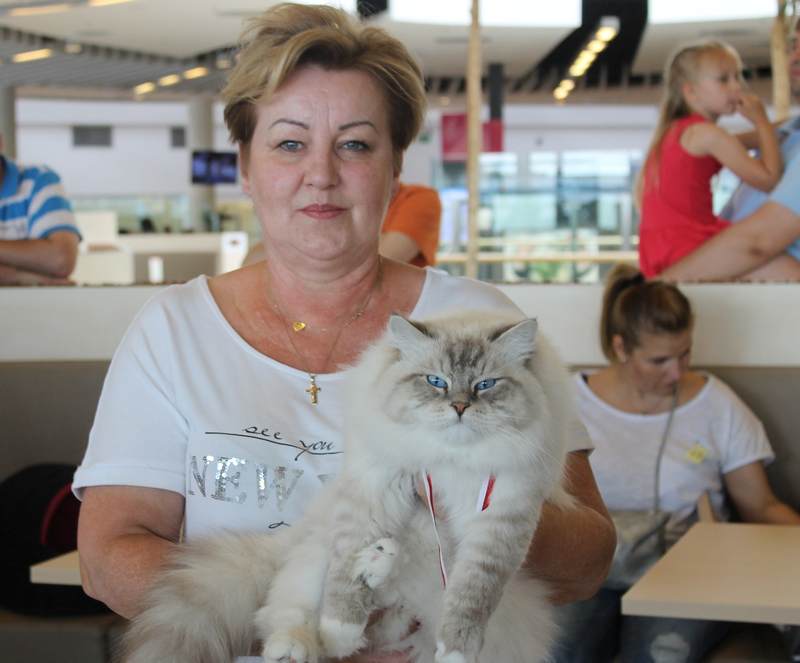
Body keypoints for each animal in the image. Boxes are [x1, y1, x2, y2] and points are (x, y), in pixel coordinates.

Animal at [120, 311, 578, 663]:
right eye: (436, 381)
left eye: (485, 385)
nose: (460, 407)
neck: (449, 460)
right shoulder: (375, 487)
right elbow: (342, 593)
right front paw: (341, 627)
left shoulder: (502, 519)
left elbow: (473, 595)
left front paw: (456, 652)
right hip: (314, 557)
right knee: (291, 619)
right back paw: (301, 643)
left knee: (387, 619)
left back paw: (381, 564)